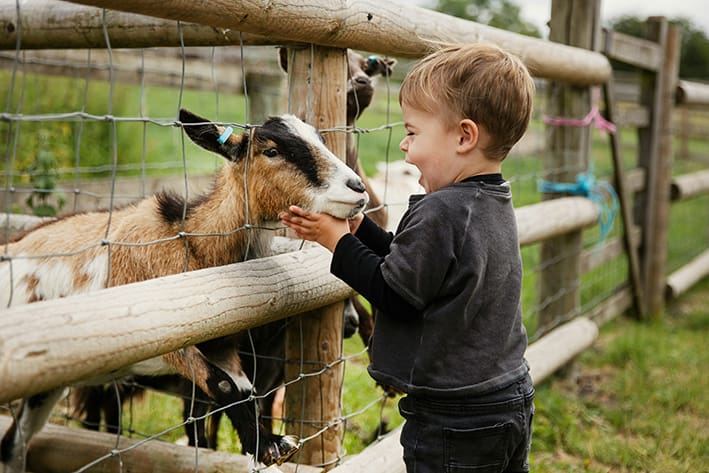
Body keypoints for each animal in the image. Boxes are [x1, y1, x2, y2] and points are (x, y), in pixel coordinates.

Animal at [0, 109, 368, 472]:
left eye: (320, 139)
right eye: (272, 151)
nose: (357, 189)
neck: (193, 243)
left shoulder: (222, 346)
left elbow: (243, 389)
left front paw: (267, 443)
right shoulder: (163, 339)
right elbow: (221, 385)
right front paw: (268, 445)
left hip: (47, 385)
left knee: (13, 447)